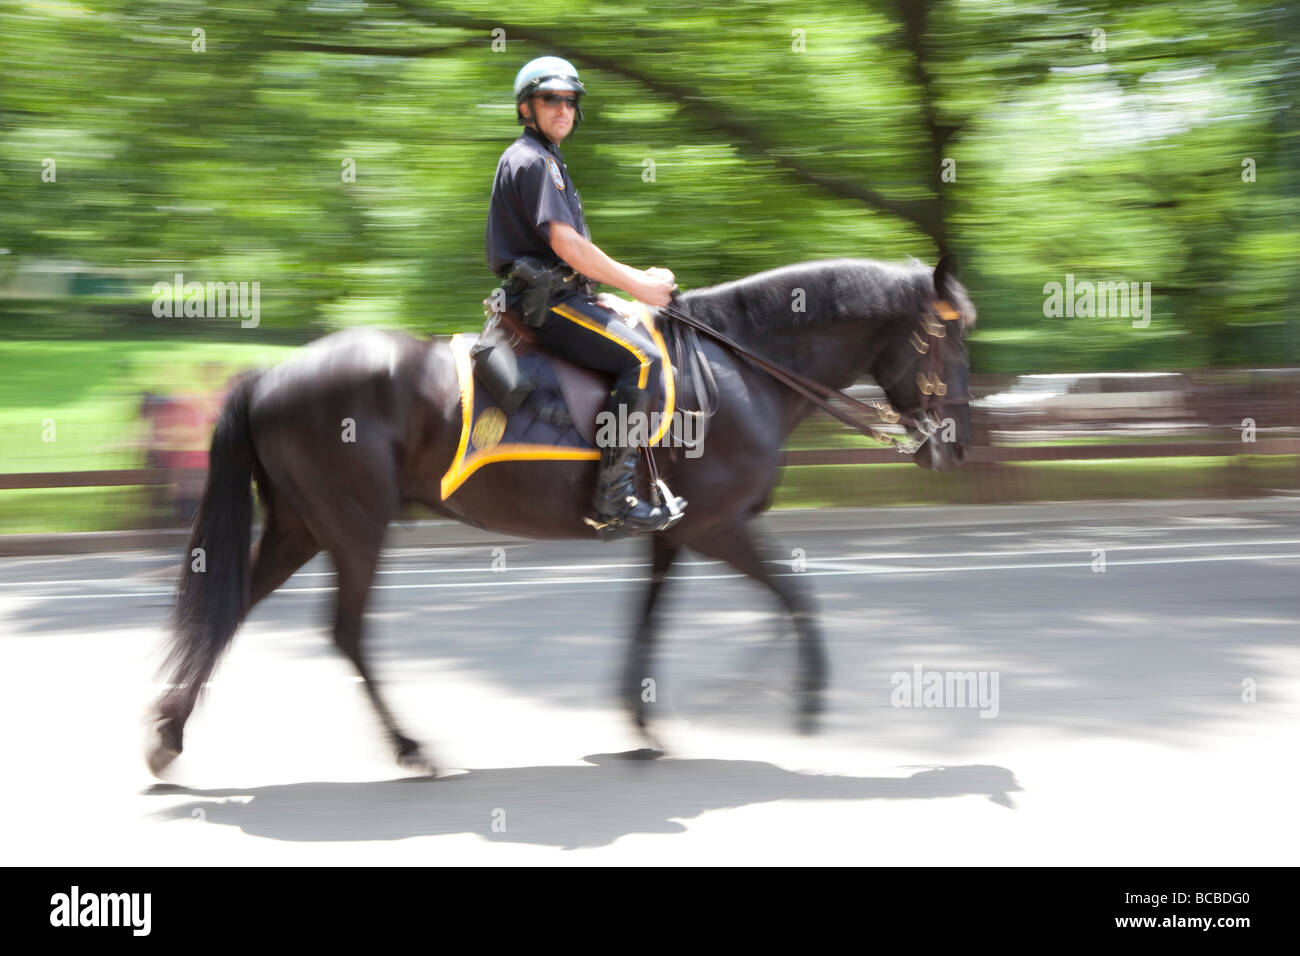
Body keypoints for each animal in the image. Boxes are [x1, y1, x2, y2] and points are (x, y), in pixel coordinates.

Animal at [147, 256, 976, 775]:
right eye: (951, 339)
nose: (960, 444)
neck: (738, 369)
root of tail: (269, 375)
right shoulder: (718, 528)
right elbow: (798, 598)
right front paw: (805, 706)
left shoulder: (672, 533)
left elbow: (647, 622)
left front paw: (643, 725)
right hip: (352, 528)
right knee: (344, 632)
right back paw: (411, 746)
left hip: (301, 526)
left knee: (229, 612)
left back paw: (168, 732)